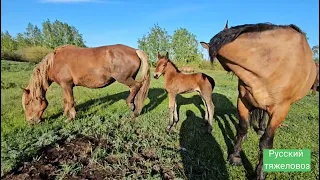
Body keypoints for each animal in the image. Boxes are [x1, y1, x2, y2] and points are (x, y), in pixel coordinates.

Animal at [21, 44, 151, 124]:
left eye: (27, 103)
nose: (30, 121)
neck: (54, 62)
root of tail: (134, 50)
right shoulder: (64, 86)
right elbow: (66, 100)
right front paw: (64, 114)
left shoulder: (67, 85)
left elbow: (70, 101)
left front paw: (71, 118)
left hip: (124, 78)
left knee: (136, 86)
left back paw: (131, 106)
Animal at [201, 20, 316, 179]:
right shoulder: (243, 101)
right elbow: (242, 128)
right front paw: (235, 157)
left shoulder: (280, 110)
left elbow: (266, 142)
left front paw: (261, 172)